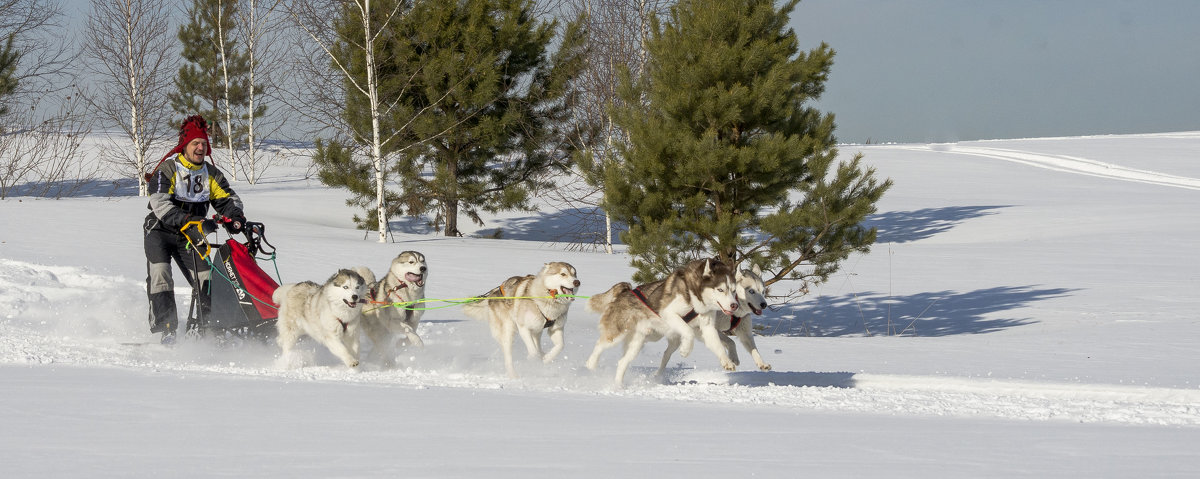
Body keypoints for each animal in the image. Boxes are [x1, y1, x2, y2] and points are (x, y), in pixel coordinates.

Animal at [583, 259, 734, 386]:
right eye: (720, 289)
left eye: (733, 290)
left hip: (638, 342)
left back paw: (618, 385)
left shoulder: (707, 327)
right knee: (599, 345)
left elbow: (717, 345)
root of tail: (625, 292)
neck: (694, 295)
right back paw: (591, 365)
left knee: (622, 362)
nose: (734, 305)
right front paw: (685, 350)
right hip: (618, 333)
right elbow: (688, 331)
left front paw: (727, 361)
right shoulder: (669, 313)